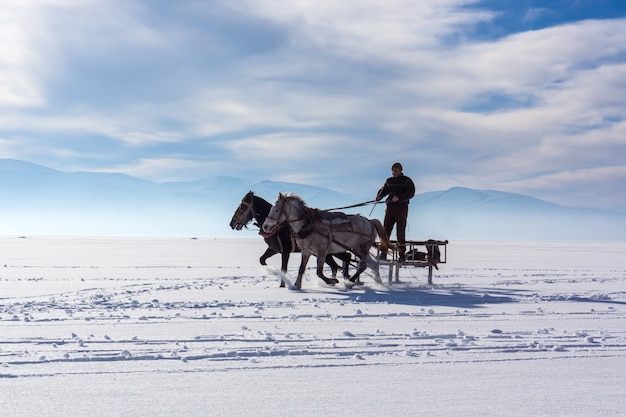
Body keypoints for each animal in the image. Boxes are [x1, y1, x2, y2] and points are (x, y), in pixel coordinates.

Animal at [260, 193, 388, 288]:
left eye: (276, 210)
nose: (265, 227)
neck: (307, 226)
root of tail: (369, 221)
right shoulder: (306, 251)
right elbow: (301, 269)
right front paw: (297, 286)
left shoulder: (322, 252)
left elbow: (319, 272)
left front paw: (332, 281)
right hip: (358, 249)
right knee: (372, 264)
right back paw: (379, 283)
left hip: (362, 249)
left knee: (364, 265)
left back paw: (350, 281)